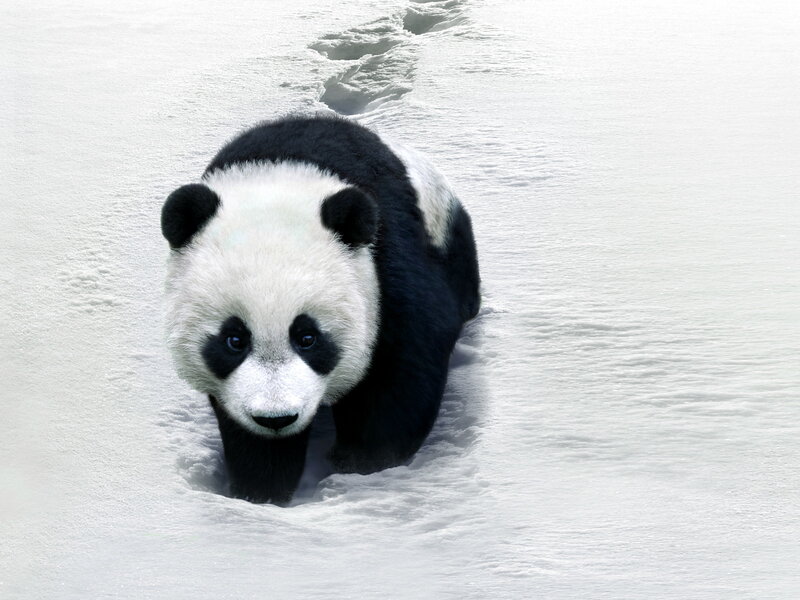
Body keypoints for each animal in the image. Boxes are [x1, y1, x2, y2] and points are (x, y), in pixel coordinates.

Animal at [161, 115, 480, 504]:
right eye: (234, 340)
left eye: (307, 337)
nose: (276, 418)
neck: (279, 175)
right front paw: (261, 487)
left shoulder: (385, 261)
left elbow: (403, 366)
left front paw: (362, 463)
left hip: (445, 230)